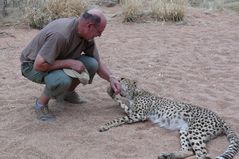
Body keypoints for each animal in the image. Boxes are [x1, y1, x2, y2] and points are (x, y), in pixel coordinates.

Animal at [99, 78, 239, 159]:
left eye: (125, 79)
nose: (120, 78)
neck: (135, 93)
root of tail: (220, 117)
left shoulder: (139, 115)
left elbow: (118, 119)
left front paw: (104, 125)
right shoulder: (134, 112)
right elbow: (121, 104)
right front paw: (110, 91)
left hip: (195, 132)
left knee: (203, 155)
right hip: (185, 130)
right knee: (189, 150)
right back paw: (168, 155)